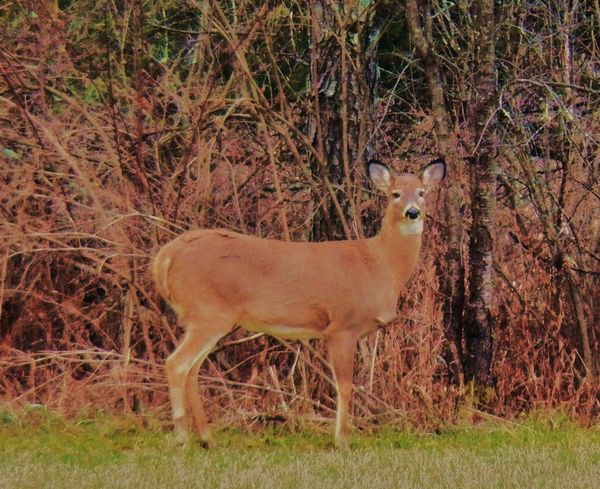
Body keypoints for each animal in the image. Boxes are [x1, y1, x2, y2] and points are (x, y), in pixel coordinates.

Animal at [152, 159, 446, 446]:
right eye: (395, 194)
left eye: (421, 192)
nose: (412, 212)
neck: (380, 263)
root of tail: (165, 256)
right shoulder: (342, 326)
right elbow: (344, 386)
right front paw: (342, 441)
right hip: (207, 312)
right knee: (176, 364)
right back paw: (181, 439)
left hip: (207, 317)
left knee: (192, 369)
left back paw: (207, 438)